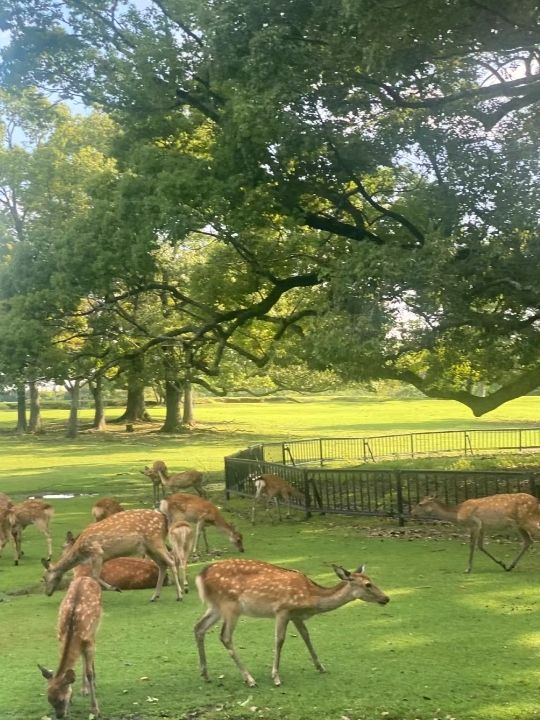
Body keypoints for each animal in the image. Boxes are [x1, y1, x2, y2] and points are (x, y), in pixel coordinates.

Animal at [38, 572, 102, 720]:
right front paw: (77, 694)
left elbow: (89, 673)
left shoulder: (88, 640)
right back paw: (84, 689)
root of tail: (86, 577)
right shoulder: (60, 637)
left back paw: (93, 684)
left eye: (61, 699)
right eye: (49, 700)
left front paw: (95, 709)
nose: (59, 716)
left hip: (96, 627)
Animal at [41, 510, 185, 604]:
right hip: (149, 547)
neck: (82, 553)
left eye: (44, 577)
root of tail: (164, 519)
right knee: (163, 564)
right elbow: (95, 576)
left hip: (154, 540)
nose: (47, 593)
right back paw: (155, 596)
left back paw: (179, 595)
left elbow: (94, 576)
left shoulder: (97, 551)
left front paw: (115, 588)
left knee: (171, 560)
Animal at [194, 556, 388, 688]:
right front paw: (276, 677)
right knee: (225, 636)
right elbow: (279, 640)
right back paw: (249, 679)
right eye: (368, 584)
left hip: (216, 606)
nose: (386, 598)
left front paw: (321, 667)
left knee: (198, 627)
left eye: (372, 581)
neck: (311, 597)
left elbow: (306, 636)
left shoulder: (296, 616)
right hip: (230, 605)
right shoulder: (282, 609)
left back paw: (205, 674)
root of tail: (200, 576)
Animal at [412, 492, 540, 572]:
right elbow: (481, 546)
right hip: (519, 525)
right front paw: (502, 564)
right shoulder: (482, 527)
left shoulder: (474, 524)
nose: (411, 512)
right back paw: (510, 566)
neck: (458, 513)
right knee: (528, 541)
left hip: (527, 519)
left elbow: (472, 546)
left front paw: (468, 569)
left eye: (420, 504)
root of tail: (537, 502)